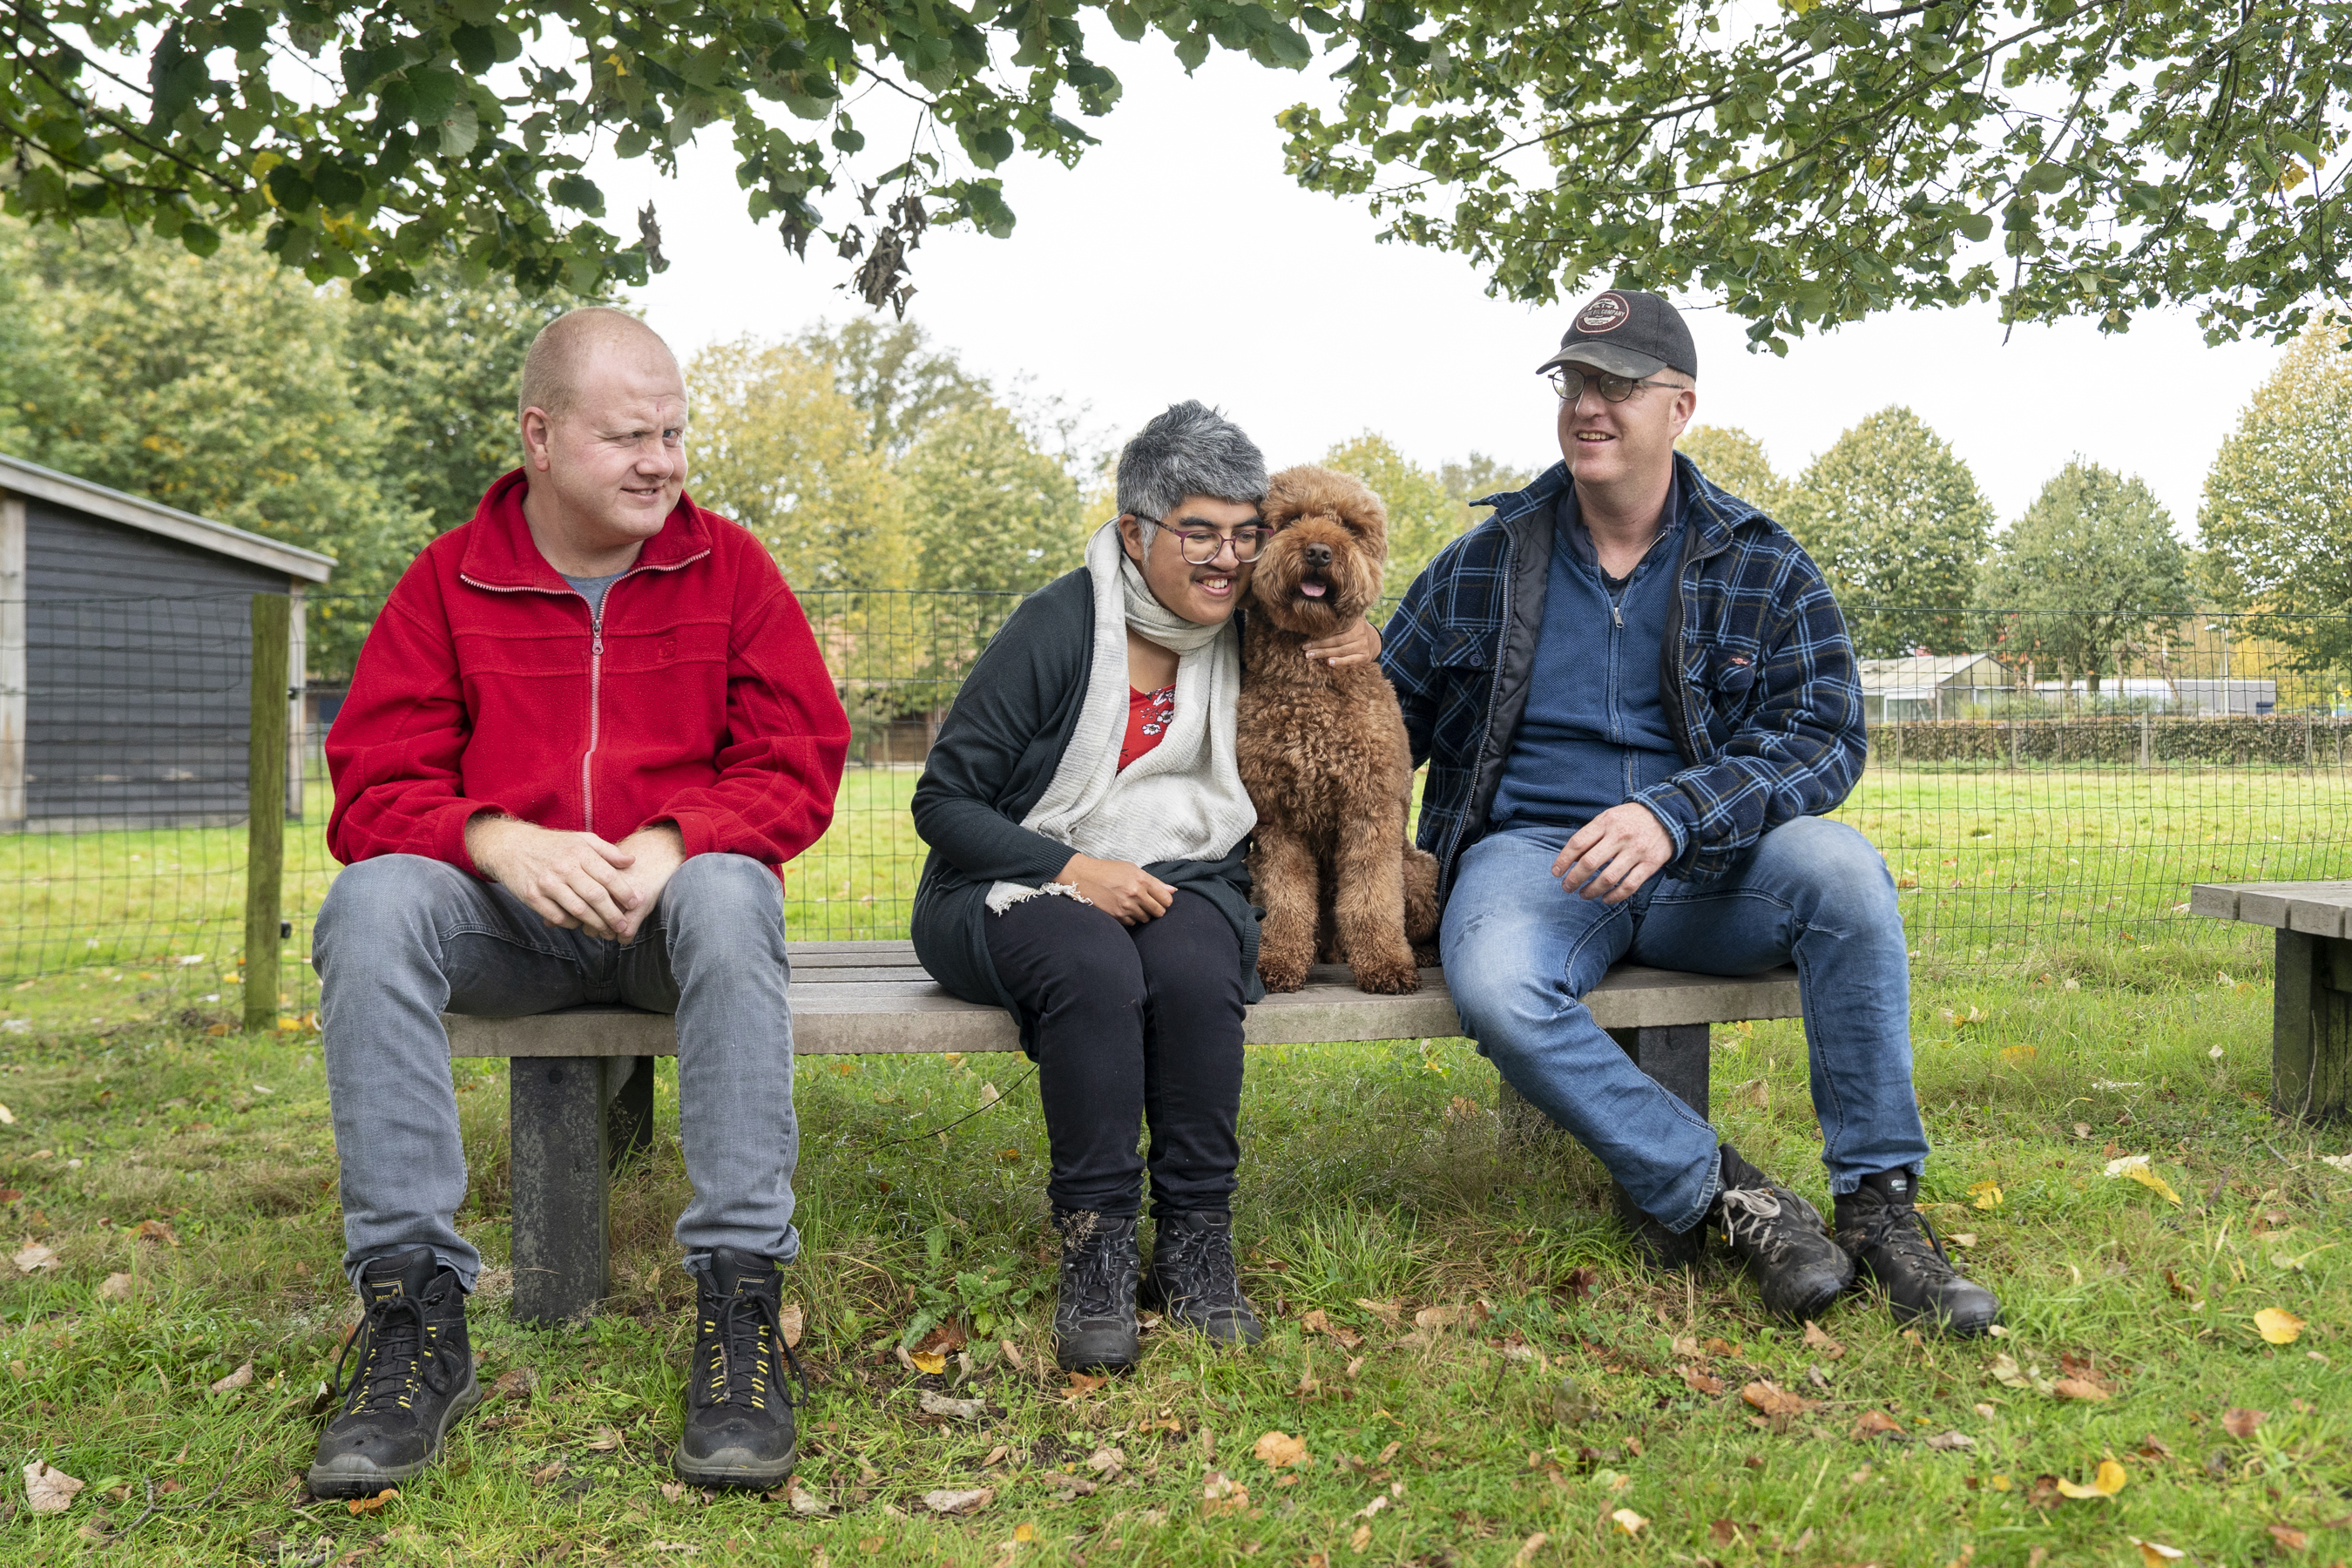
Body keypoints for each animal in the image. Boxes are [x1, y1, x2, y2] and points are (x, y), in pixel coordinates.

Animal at [1241, 460, 1439, 991]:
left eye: (1351, 527)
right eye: (1289, 519)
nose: (1318, 551)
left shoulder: (1369, 811)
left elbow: (1372, 899)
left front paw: (1386, 964)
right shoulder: (1276, 820)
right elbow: (1287, 900)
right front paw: (1278, 961)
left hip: (1419, 869)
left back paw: (1419, 954)